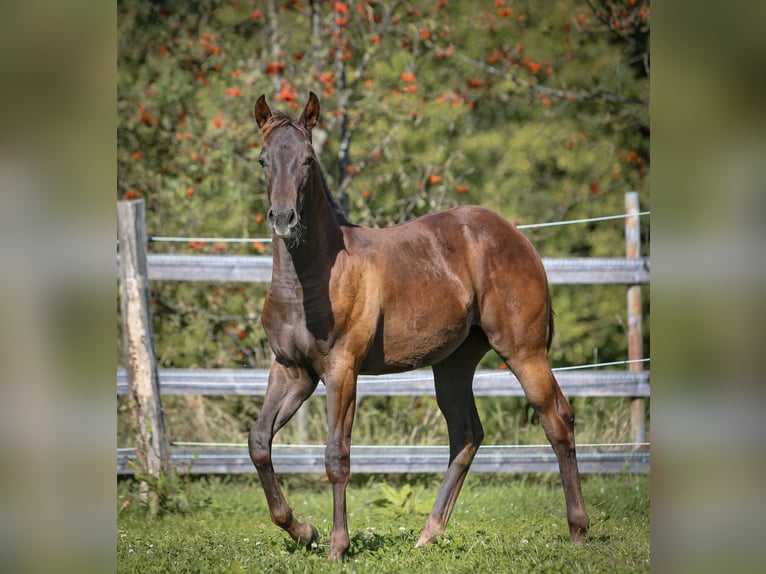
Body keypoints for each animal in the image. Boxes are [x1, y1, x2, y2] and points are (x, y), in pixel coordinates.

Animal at [249, 91, 592, 564]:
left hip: (524, 350)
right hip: (454, 363)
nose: (284, 218)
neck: (309, 280)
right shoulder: (293, 371)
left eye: (308, 159)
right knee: (466, 433)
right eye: (263, 159)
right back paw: (428, 534)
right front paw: (304, 531)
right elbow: (259, 442)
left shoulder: (341, 371)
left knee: (557, 419)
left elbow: (337, 456)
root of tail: (517, 237)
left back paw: (578, 530)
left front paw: (338, 546)